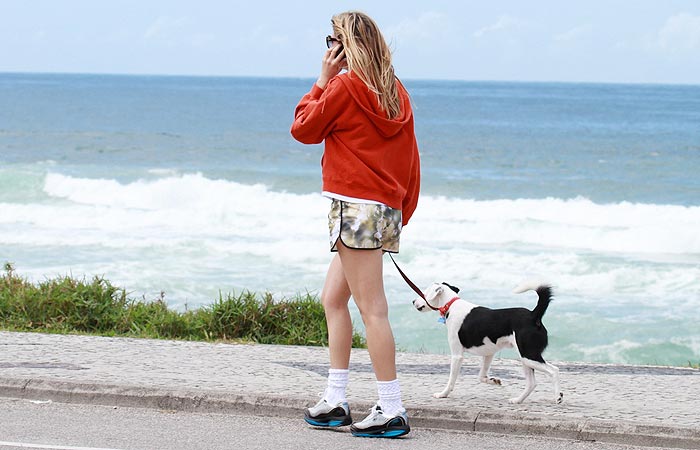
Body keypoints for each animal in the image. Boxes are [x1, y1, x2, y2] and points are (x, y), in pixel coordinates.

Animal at [412, 282, 560, 404]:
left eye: (424, 293)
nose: (413, 301)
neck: (452, 305)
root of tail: (533, 315)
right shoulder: (488, 354)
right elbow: (481, 376)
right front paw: (493, 381)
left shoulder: (457, 355)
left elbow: (451, 380)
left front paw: (443, 394)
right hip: (525, 359)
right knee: (532, 383)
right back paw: (517, 400)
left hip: (529, 355)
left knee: (554, 370)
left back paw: (558, 397)